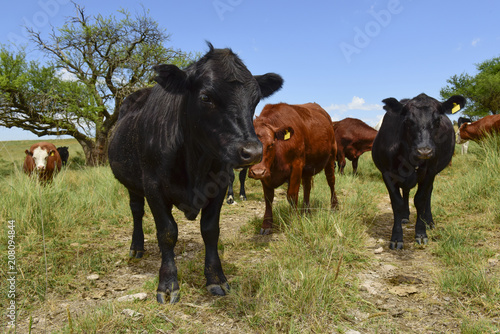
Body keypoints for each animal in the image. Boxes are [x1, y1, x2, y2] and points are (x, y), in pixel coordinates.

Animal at [108, 43, 284, 304]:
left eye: (255, 100)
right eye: (205, 97)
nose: (252, 151)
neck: (194, 162)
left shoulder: (219, 185)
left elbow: (210, 231)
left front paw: (216, 278)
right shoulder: (153, 187)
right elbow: (167, 232)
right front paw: (168, 284)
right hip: (132, 184)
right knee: (137, 212)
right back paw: (137, 247)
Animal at [248, 102, 338, 235]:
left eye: (271, 144)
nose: (257, 172)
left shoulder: (297, 165)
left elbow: (292, 195)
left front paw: (295, 221)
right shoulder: (266, 174)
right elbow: (268, 198)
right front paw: (267, 224)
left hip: (331, 157)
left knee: (331, 181)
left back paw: (334, 206)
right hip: (308, 168)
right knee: (307, 187)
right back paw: (306, 211)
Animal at [372, 92, 464, 249]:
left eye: (437, 120)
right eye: (408, 121)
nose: (424, 150)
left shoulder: (430, 172)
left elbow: (420, 199)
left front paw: (421, 234)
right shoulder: (387, 174)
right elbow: (396, 203)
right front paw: (396, 237)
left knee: (428, 194)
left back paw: (429, 221)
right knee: (405, 191)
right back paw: (404, 216)